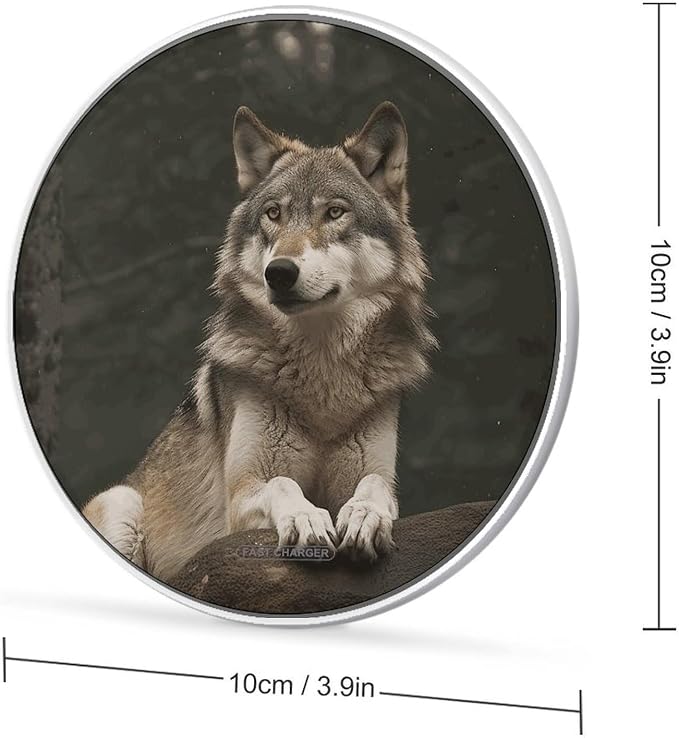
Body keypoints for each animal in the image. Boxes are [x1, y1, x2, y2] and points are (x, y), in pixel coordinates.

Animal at [82, 101, 437, 583]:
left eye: (335, 213)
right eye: (273, 213)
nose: (280, 272)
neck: (322, 374)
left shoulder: (376, 475)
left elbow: (375, 487)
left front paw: (364, 516)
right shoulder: (243, 496)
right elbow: (283, 485)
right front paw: (306, 519)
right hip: (122, 503)